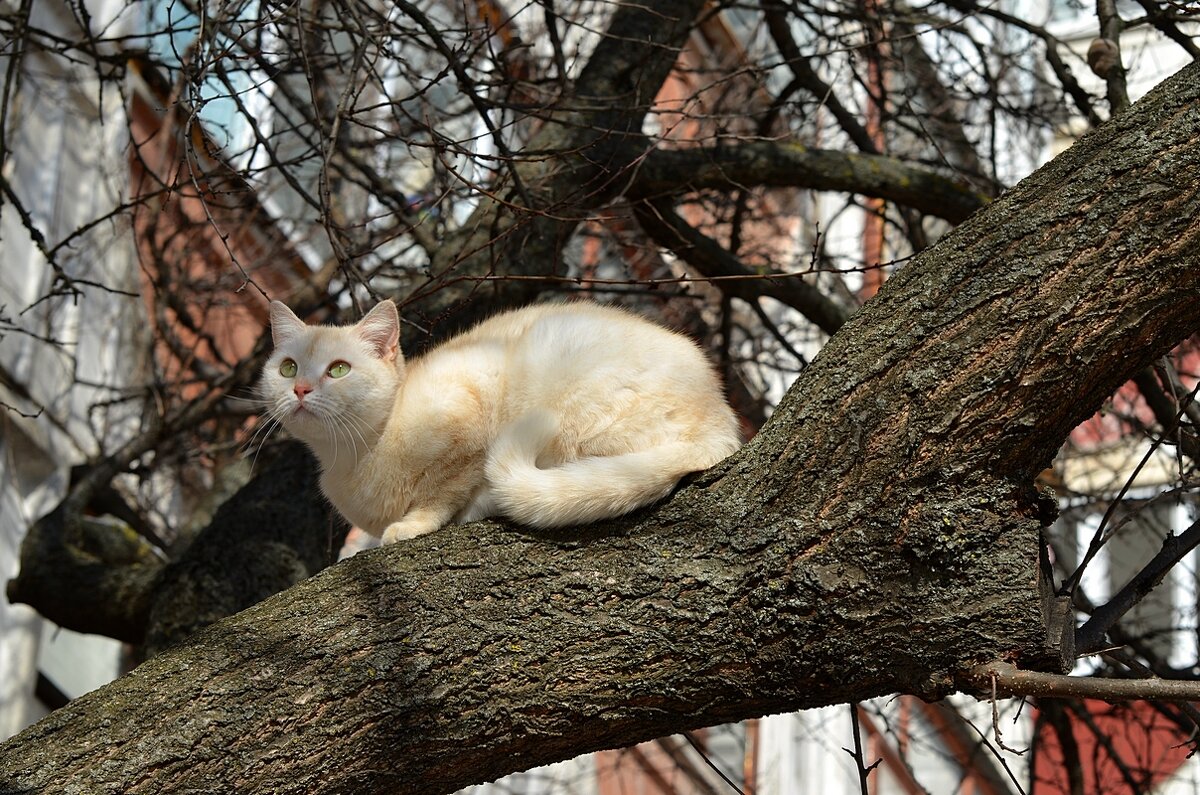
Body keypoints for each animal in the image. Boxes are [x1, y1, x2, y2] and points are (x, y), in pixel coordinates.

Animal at [262, 300, 739, 547]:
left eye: (338, 369)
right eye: (288, 368)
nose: (300, 388)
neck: (356, 453)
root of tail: (720, 418)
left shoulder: (472, 404)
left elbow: (445, 487)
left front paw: (414, 524)